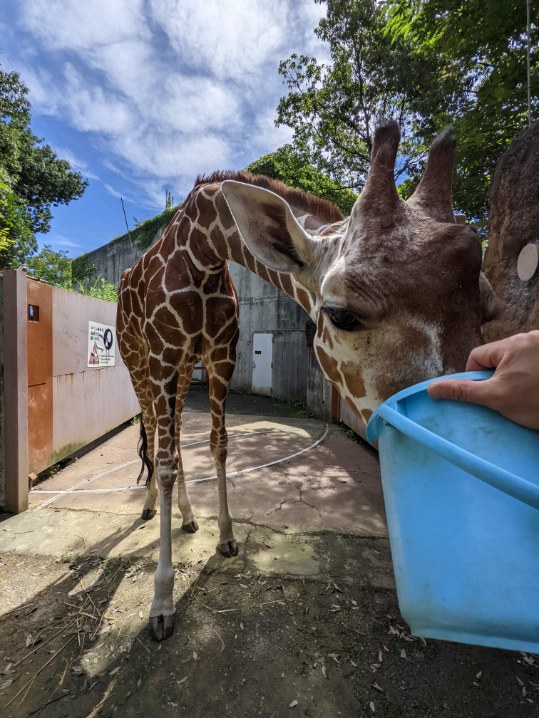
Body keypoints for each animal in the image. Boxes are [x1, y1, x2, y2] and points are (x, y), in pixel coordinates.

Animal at [117, 122, 498, 640]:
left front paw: (226, 538)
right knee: (155, 434)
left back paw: (189, 517)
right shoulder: (161, 356)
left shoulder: (218, 357)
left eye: (489, 307)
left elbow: (218, 444)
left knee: (172, 437)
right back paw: (149, 507)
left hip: (177, 374)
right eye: (341, 314)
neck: (203, 252)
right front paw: (161, 602)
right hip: (138, 361)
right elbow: (167, 459)